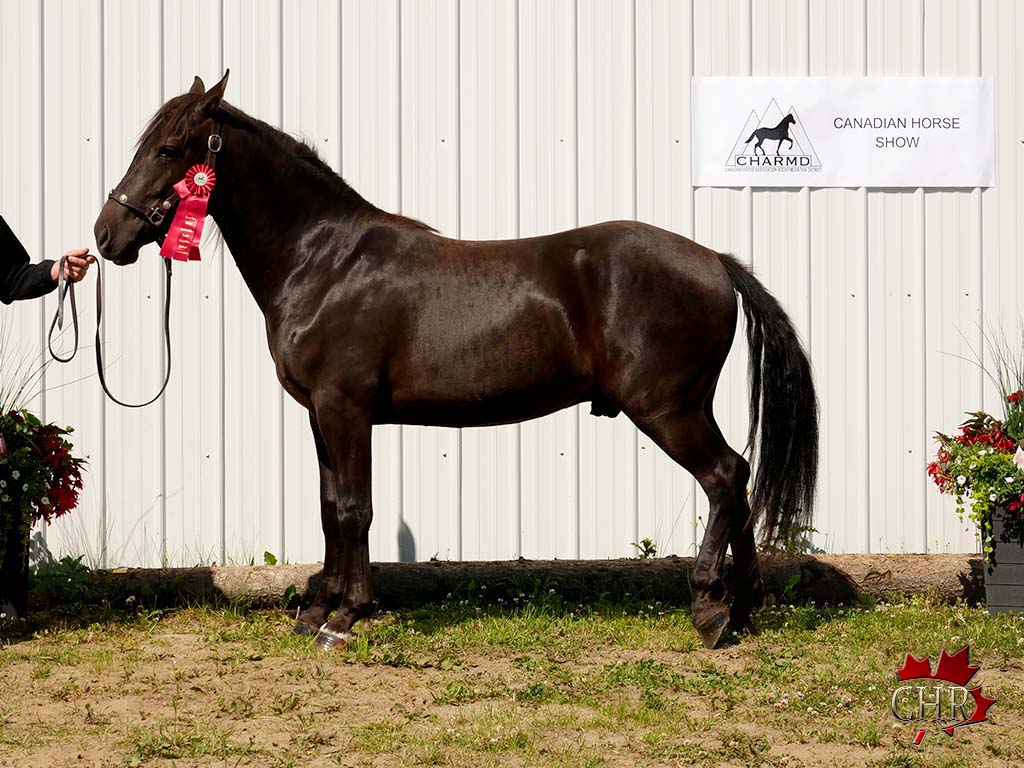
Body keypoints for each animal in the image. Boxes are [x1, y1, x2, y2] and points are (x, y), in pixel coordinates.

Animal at [94, 72, 818, 651]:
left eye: (168, 149)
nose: (107, 235)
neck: (325, 261)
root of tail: (714, 261)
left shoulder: (345, 408)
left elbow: (355, 509)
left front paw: (345, 618)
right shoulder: (319, 415)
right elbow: (329, 508)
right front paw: (316, 611)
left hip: (668, 408)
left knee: (724, 477)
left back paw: (709, 611)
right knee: (739, 480)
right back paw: (743, 609)